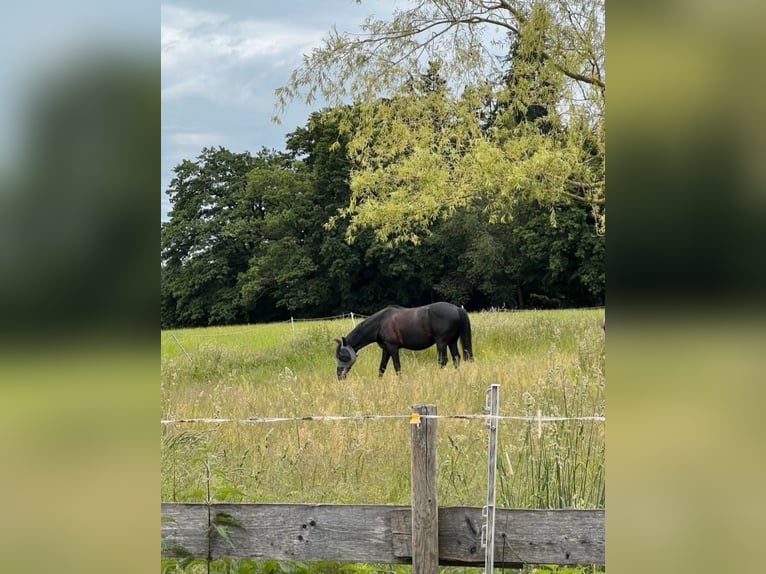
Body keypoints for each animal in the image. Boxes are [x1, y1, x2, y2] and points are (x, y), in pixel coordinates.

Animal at [335, 302, 473, 379]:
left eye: (342, 356)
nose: (339, 375)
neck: (380, 323)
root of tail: (457, 309)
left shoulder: (392, 348)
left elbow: (397, 366)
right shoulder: (386, 349)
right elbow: (382, 368)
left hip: (442, 342)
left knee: (443, 361)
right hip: (452, 342)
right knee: (456, 359)